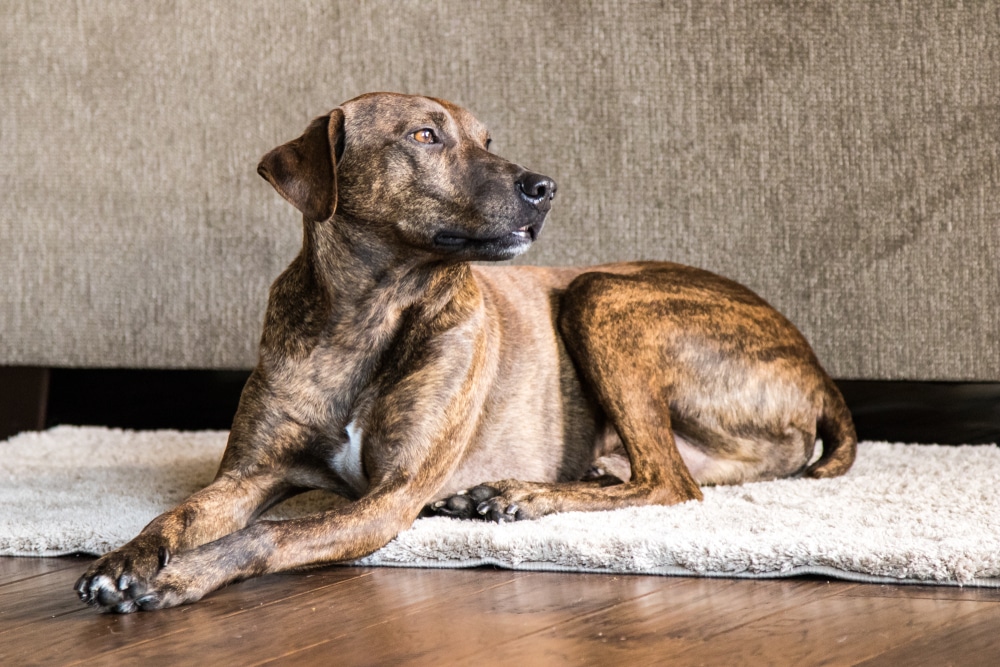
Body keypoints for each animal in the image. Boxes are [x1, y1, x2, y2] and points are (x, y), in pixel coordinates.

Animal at [74, 91, 856, 612]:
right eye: (424, 135)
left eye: (484, 137)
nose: (544, 187)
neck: (368, 315)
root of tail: (819, 375)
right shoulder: (248, 475)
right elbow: (174, 518)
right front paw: (127, 558)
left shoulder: (390, 498)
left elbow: (268, 535)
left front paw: (178, 575)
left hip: (601, 294)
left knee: (669, 481)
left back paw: (517, 493)